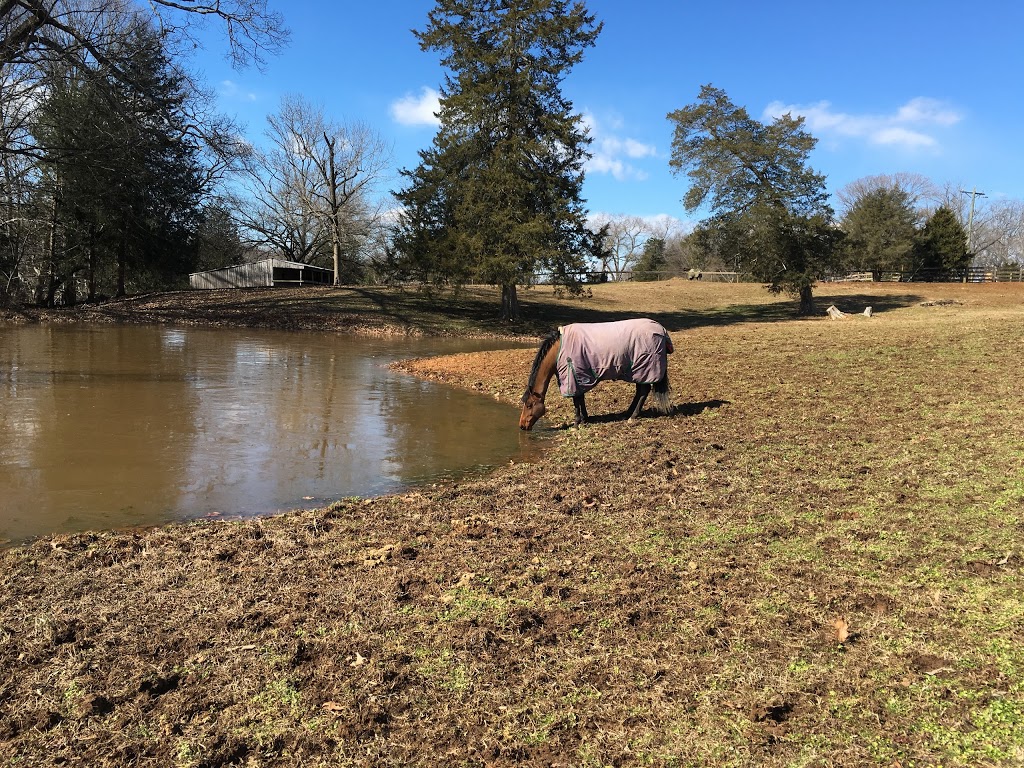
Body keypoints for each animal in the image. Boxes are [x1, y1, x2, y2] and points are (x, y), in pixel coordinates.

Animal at [516, 315, 675, 430]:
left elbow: (576, 400)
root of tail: (661, 330)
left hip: (644, 368)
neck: (559, 350)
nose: (522, 426)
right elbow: (580, 399)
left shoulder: (573, 376)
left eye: (529, 405)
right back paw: (628, 413)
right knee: (641, 391)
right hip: (638, 371)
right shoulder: (578, 377)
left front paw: (576, 423)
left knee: (643, 391)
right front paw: (585, 418)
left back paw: (633, 416)